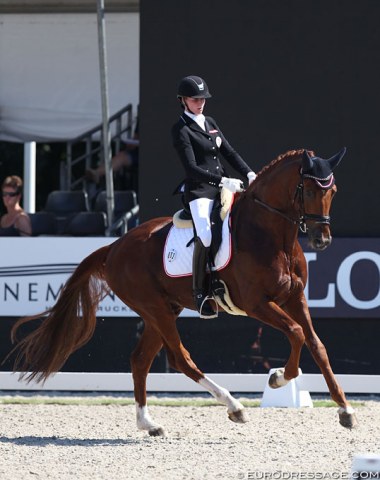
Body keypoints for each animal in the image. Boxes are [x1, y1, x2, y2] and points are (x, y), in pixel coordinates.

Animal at [10, 149, 358, 436]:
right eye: (309, 190)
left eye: (333, 191)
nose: (322, 240)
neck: (270, 235)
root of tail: (115, 246)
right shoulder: (257, 304)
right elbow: (297, 332)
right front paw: (279, 378)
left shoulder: (295, 298)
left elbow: (317, 345)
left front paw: (345, 410)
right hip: (156, 310)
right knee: (180, 358)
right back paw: (234, 407)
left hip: (162, 310)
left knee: (140, 360)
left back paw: (149, 424)